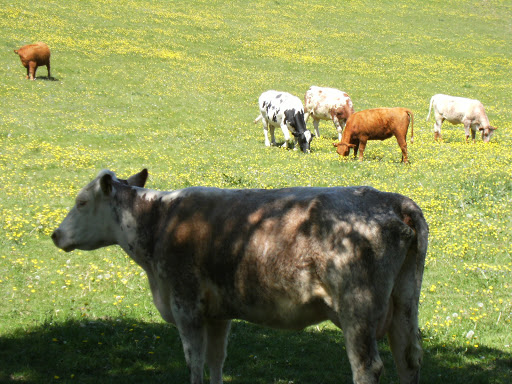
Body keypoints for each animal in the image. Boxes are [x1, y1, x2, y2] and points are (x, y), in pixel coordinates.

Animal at [52, 169, 428, 384]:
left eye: (82, 202)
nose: (56, 234)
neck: (159, 222)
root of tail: (395, 202)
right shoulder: (218, 313)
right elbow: (216, 361)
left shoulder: (185, 305)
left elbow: (195, 362)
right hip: (405, 303)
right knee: (408, 359)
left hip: (357, 310)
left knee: (367, 367)